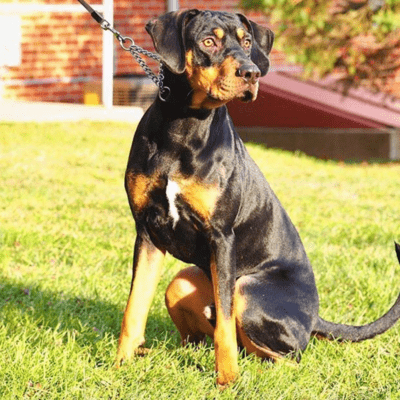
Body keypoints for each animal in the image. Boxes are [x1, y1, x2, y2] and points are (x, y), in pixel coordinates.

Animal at [115, 9, 400, 388]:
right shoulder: (147, 230)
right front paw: (120, 365)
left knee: (286, 358)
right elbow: (135, 307)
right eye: (208, 41)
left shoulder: (221, 235)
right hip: (182, 282)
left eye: (247, 41)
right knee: (203, 335)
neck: (184, 126)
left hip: (247, 290)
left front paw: (227, 380)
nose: (251, 73)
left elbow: (224, 325)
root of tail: (314, 318)